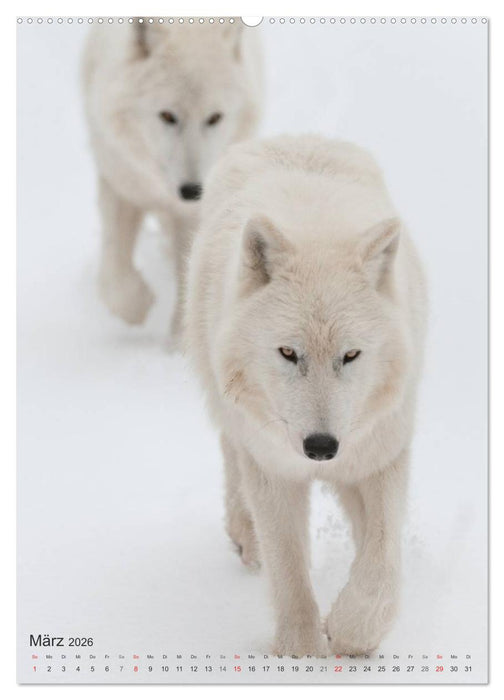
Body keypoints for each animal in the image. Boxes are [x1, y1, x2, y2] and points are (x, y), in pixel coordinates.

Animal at [82, 20, 262, 343]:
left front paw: (179, 342)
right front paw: (138, 305)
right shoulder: (120, 179)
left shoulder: (193, 211)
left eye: (214, 118)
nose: (192, 190)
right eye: (167, 115)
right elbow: (115, 274)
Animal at [185, 135, 427, 656]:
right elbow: (289, 567)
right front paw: (299, 653)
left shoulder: (380, 454)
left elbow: (382, 558)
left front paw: (353, 631)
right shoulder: (274, 468)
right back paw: (244, 535)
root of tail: (291, 137)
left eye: (351, 355)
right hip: (229, 405)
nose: (320, 447)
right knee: (232, 454)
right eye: (288, 352)